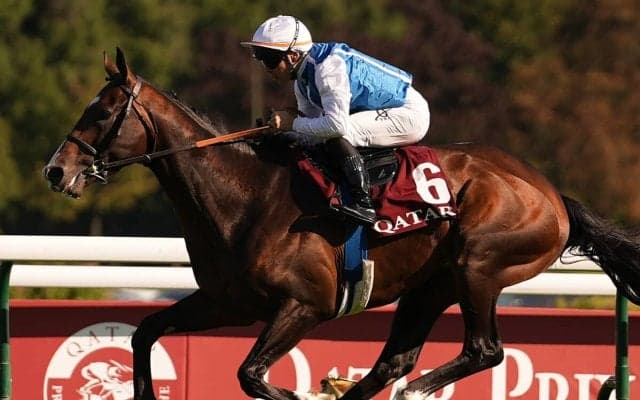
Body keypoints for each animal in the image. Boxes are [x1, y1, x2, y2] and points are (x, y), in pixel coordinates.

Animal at [43, 48, 640, 400]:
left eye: (101, 112)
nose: (56, 170)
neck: (244, 196)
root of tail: (552, 194)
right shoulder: (228, 303)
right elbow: (145, 332)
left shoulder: (305, 305)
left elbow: (251, 375)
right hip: (430, 286)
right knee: (394, 361)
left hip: (480, 265)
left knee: (483, 351)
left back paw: (416, 390)